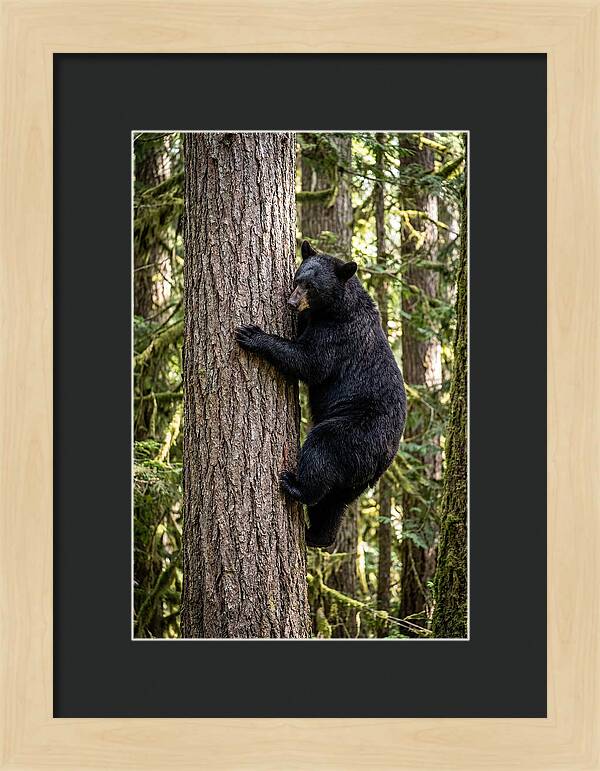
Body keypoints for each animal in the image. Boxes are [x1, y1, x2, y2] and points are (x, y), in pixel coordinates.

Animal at [236, 240, 406, 548]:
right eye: (297, 279)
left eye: (311, 287)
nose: (292, 302)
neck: (336, 308)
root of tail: (384, 460)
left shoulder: (338, 336)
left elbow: (310, 362)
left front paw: (253, 334)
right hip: (357, 477)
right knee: (334, 502)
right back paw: (318, 535)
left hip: (354, 432)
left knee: (322, 451)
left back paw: (295, 486)